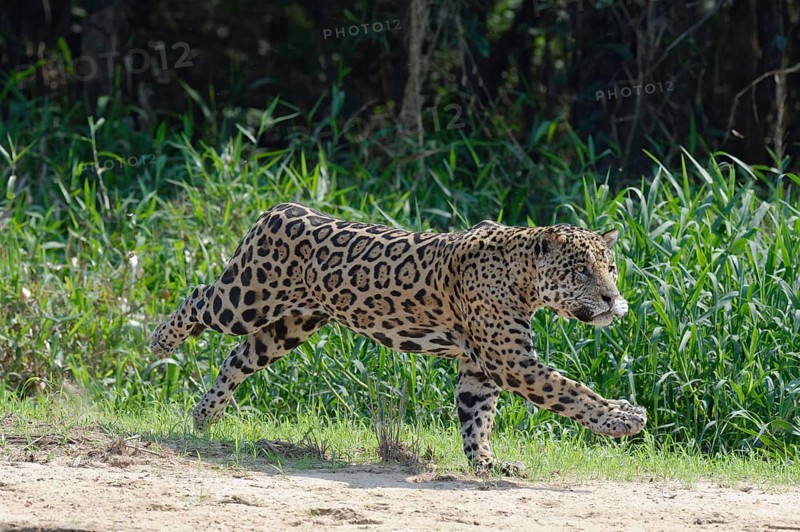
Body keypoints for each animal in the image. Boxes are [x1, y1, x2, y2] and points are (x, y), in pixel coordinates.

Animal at [151, 202, 646, 471]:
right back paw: (160, 342)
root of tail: (281, 208)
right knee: (199, 296)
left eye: (611, 267)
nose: (611, 298)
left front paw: (486, 463)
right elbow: (570, 391)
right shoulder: (511, 361)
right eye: (580, 271)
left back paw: (204, 416)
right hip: (246, 299)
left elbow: (476, 418)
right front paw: (622, 419)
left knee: (238, 358)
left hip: (288, 327)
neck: (523, 276)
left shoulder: (480, 367)